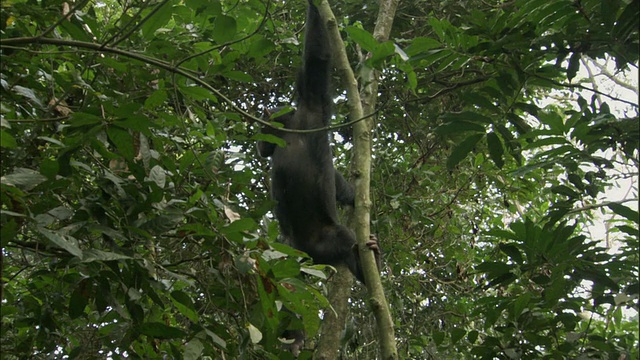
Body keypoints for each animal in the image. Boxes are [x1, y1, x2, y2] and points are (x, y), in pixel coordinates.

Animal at [256, 0, 378, 284]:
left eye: (261, 124)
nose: (260, 143)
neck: (289, 131)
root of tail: (309, 253)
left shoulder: (311, 105)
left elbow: (316, 60)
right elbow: (338, 182)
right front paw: (354, 197)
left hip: (327, 240)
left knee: (346, 242)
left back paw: (368, 262)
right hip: (288, 249)